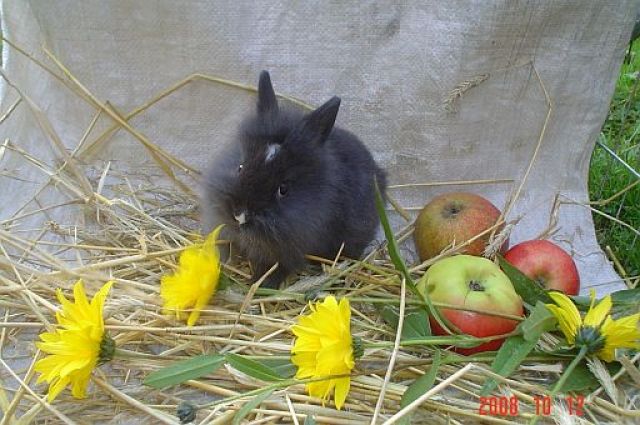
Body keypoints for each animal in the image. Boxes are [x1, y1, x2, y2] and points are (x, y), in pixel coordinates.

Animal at [202, 71, 387, 288]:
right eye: (240, 167)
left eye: (283, 189)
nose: (240, 215)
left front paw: (260, 285)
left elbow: (275, 269)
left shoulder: (285, 251)